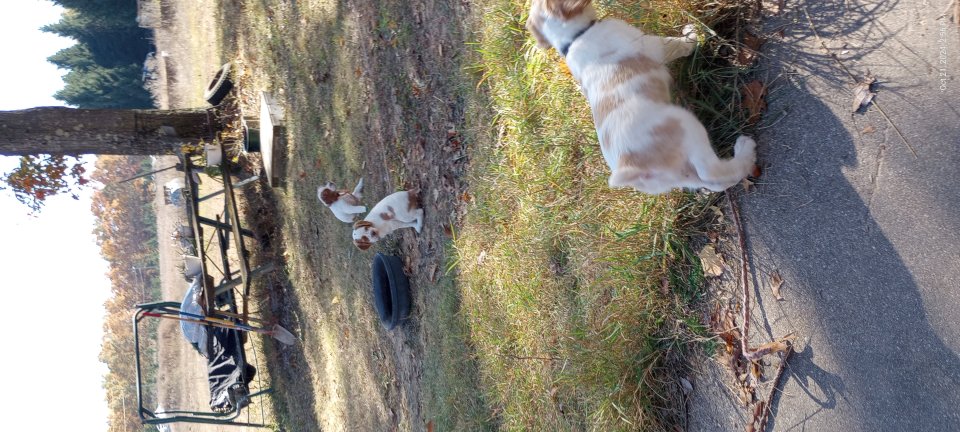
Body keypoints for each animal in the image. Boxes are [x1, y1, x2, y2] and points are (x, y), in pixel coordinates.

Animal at [524, 0, 756, 192]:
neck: (576, 36)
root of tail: (630, 167)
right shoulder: (654, 44)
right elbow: (680, 43)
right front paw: (694, 33)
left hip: (680, 175)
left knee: (716, 182)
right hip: (687, 127)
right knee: (713, 172)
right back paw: (745, 149)